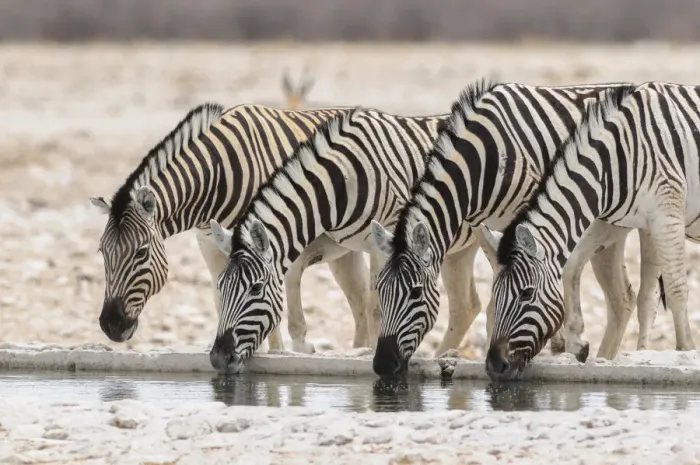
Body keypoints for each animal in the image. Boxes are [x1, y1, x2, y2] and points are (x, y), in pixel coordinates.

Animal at [89, 102, 374, 355]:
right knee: (361, 305)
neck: (215, 176)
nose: (111, 326)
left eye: (142, 253)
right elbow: (222, 300)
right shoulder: (209, 244)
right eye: (102, 252)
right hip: (345, 252)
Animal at [206, 107, 471, 373]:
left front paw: (372, 353)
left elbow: (375, 307)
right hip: (457, 250)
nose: (218, 359)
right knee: (466, 305)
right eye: (220, 286)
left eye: (256, 288)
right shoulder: (328, 244)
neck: (343, 179)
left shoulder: (384, 241)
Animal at [369, 79, 656, 377]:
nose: (383, 364)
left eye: (415, 293)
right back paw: (605, 358)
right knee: (621, 299)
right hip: (612, 226)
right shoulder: (480, 224)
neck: (483, 158)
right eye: (379, 289)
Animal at [480, 83, 699, 381]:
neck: (616, 158)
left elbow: (677, 289)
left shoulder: (667, 215)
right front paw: (579, 345)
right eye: (495, 294)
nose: (495, 366)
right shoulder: (615, 222)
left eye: (526, 294)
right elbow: (573, 265)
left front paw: (685, 352)